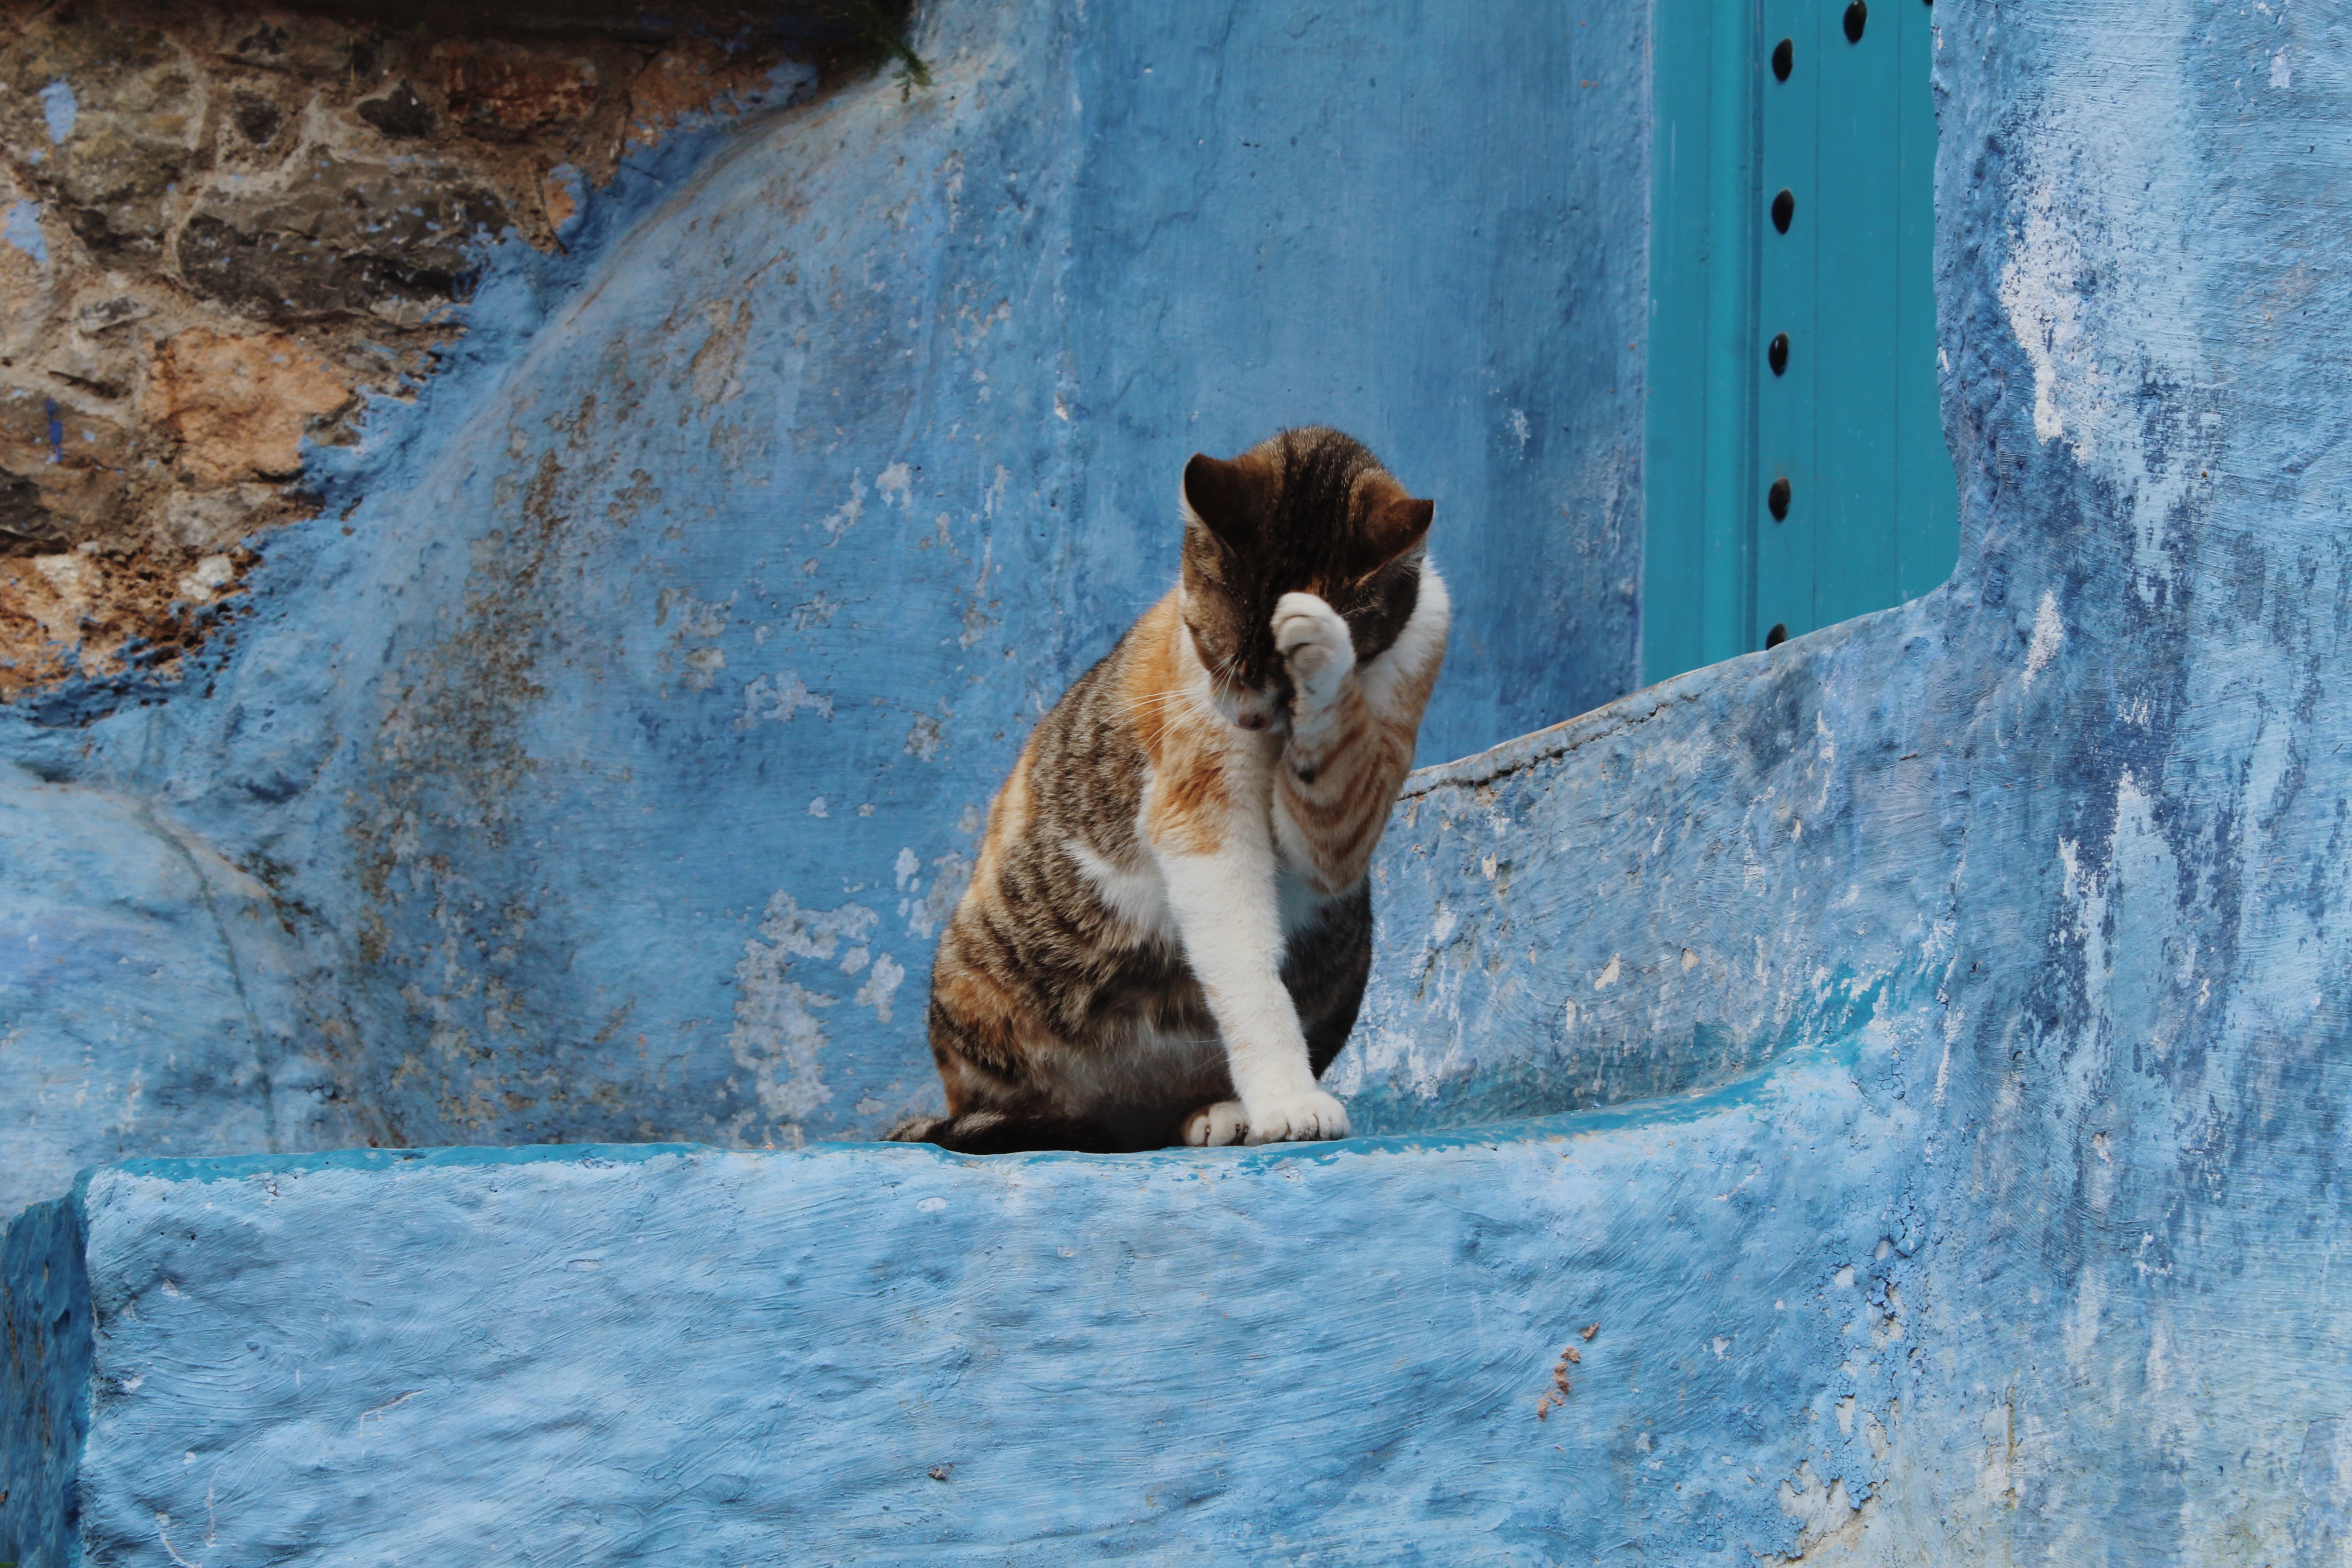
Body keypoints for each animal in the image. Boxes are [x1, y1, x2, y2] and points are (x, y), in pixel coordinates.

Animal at [886, 426, 1449, 1154]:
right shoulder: (1199, 808)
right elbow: (1245, 968)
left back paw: (1219, 1111)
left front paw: (1323, 649)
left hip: (1345, 944)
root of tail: (1119, 1118)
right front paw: (1288, 1100)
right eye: (1210, 649)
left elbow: (1328, 799)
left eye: (1287, 694)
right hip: (976, 966)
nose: (1251, 720)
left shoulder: (1339, 831)